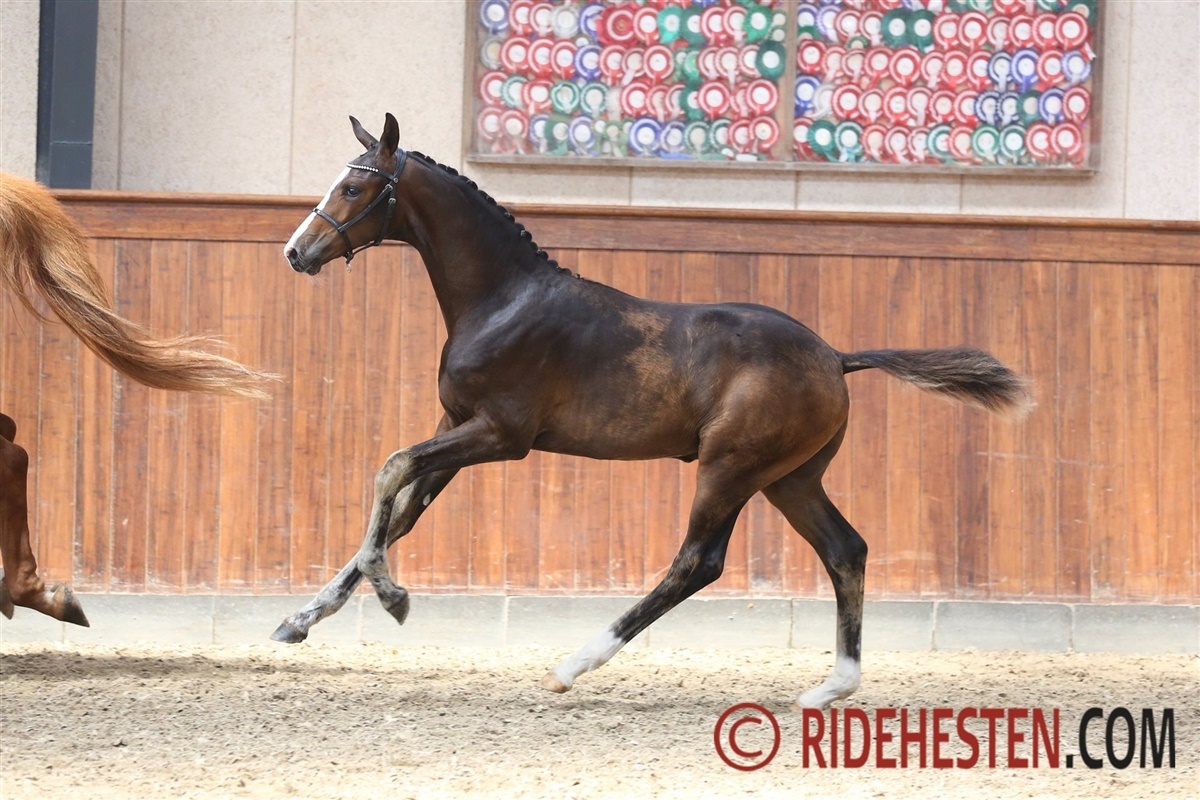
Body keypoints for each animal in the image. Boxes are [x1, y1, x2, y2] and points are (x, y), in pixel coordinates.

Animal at [277, 114, 1032, 709]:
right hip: (790, 478)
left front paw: (393, 598)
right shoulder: (455, 426)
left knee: (698, 561)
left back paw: (573, 664)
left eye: (355, 187)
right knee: (846, 549)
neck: (503, 300)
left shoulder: (499, 434)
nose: (296, 252)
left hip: (730, 468)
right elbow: (402, 509)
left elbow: (390, 470)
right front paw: (302, 619)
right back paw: (831, 686)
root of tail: (835, 356)